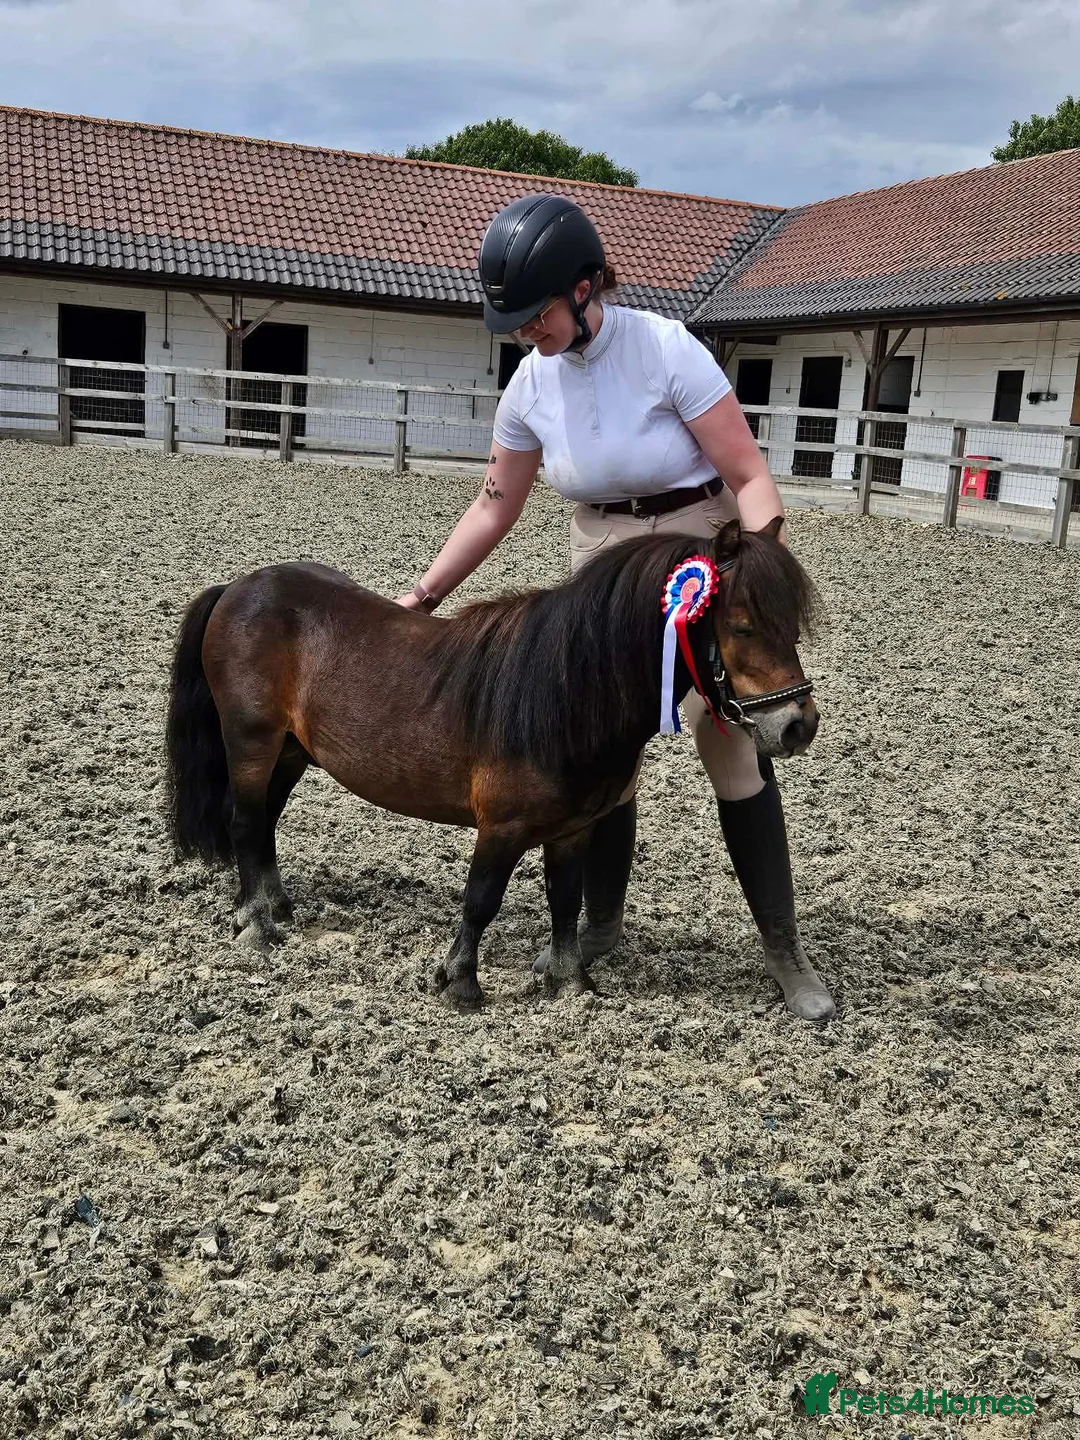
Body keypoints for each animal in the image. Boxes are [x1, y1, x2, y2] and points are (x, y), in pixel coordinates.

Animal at [164, 516, 818, 1008]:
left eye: (791, 623)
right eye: (742, 626)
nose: (798, 724)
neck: (563, 694)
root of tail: (239, 588)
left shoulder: (573, 830)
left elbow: (566, 897)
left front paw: (569, 980)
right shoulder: (500, 827)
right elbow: (481, 898)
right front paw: (458, 980)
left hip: (291, 751)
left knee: (263, 825)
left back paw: (271, 903)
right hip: (251, 741)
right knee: (245, 821)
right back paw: (255, 923)